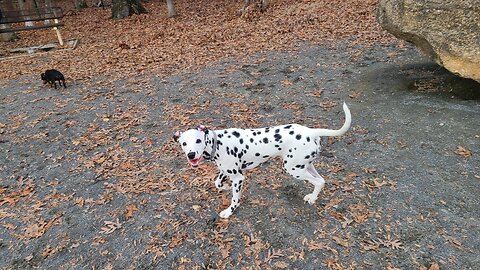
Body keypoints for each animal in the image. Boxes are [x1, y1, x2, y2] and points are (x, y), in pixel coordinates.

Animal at [174, 102, 350, 218]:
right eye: (184, 143)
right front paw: (224, 187)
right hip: (306, 166)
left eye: (198, 140)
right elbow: (217, 182)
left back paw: (312, 199)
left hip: (293, 169)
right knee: (322, 180)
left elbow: (234, 199)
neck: (218, 143)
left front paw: (229, 211)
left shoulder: (238, 178)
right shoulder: (228, 171)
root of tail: (312, 132)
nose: (191, 154)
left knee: (318, 182)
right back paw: (313, 196)